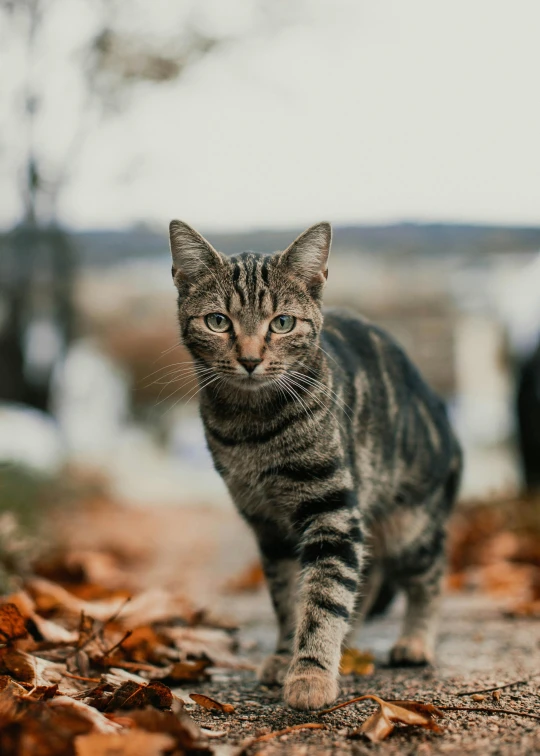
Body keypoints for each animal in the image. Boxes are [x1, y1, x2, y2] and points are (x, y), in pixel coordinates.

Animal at [168, 219, 460, 708]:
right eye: (218, 321)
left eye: (282, 323)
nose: (250, 359)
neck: (253, 429)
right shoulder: (269, 526)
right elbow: (289, 598)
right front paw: (285, 656)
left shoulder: (332, 512)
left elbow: (323, 597)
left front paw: (310, 674)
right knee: (369, 577)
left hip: (410, 521)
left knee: (429, 573)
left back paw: (415, 641)